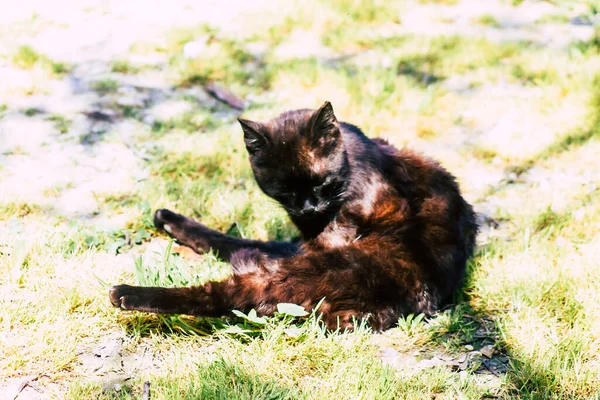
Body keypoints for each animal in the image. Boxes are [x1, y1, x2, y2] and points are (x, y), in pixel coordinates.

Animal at [109, 101, 478, 330]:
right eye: (285, 190)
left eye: (321, 183)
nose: (308, 207)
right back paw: (167, 218)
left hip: (305, 271)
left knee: (225, 293)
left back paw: (126, 293)